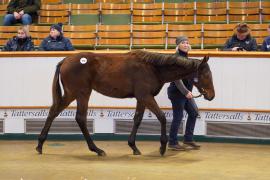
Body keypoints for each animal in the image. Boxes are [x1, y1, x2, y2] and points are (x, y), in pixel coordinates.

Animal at [35, 50, 214, 156]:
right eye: (206, 75)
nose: (211, 95)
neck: (153, 68)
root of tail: (65, 59)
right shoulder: (146, 96)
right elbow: (162, 117)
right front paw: (162, 147)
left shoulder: (141, 98)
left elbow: (137, 119)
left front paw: (133, 146)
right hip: (80, 93)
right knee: (79, 118)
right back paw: (96, 149)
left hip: (74, 94)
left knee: (55, 112)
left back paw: (40, 144)